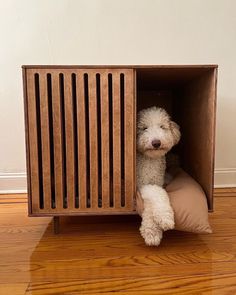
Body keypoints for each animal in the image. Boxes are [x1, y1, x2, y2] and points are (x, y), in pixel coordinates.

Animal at [136, 107, 181, 246]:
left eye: (162, 127)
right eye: (144, 128)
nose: (156, 142)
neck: (150, 160)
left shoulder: (156, 181)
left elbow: (157, 196)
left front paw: (155, 228)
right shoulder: (141, 184)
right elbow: (156, 193)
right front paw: (156, 227)